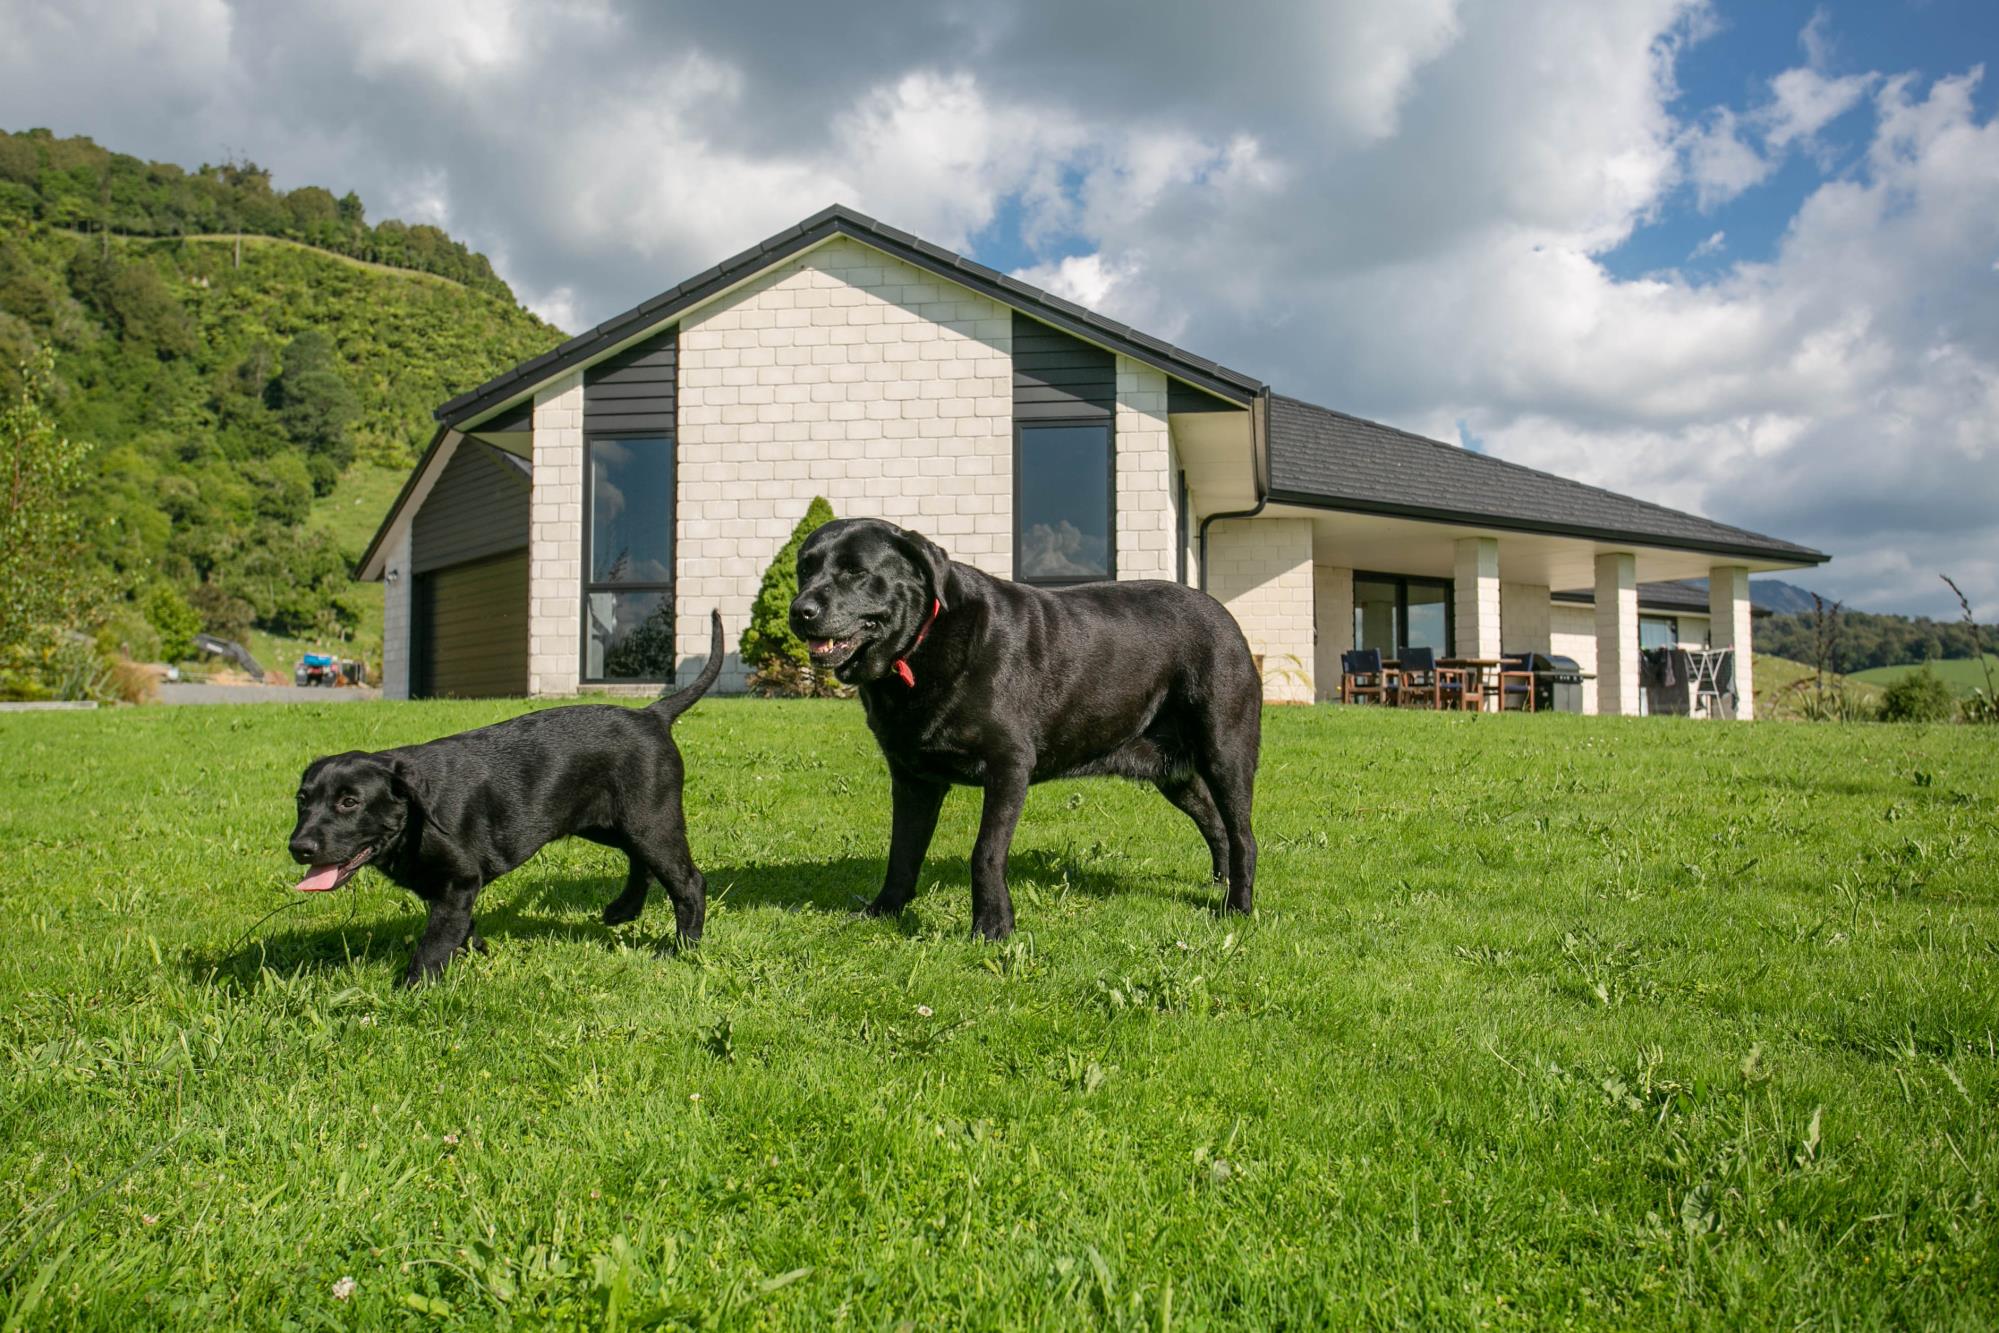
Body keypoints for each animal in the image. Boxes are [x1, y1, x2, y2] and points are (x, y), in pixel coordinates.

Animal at [289, 611, 727, 987]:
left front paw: (414, 988)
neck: (416, 816)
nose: (299, 847)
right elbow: (460, 929)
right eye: (302, 800)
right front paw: (478, 951)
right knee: (643, 863)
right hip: (607, 822)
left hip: (650, 820)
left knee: (689, 882)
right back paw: (623, 909)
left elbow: (434, 943)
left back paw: (683, 948)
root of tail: (652, 715)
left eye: (349, 802)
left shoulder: (460, 881)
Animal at [787, 515, 1255, 943]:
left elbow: (986, 852)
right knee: (1215, 824)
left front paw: (993, 927)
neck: (919, 648)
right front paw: (884, 911)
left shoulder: (1008, 765)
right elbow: (902, 851)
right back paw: (1220, 883)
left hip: (1226, 752)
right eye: (804, 569)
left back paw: (1237, 907)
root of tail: (1226, 616)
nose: (800, 611)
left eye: (856, 571)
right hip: (1172, 772)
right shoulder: (912, 779)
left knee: (1242, 835)